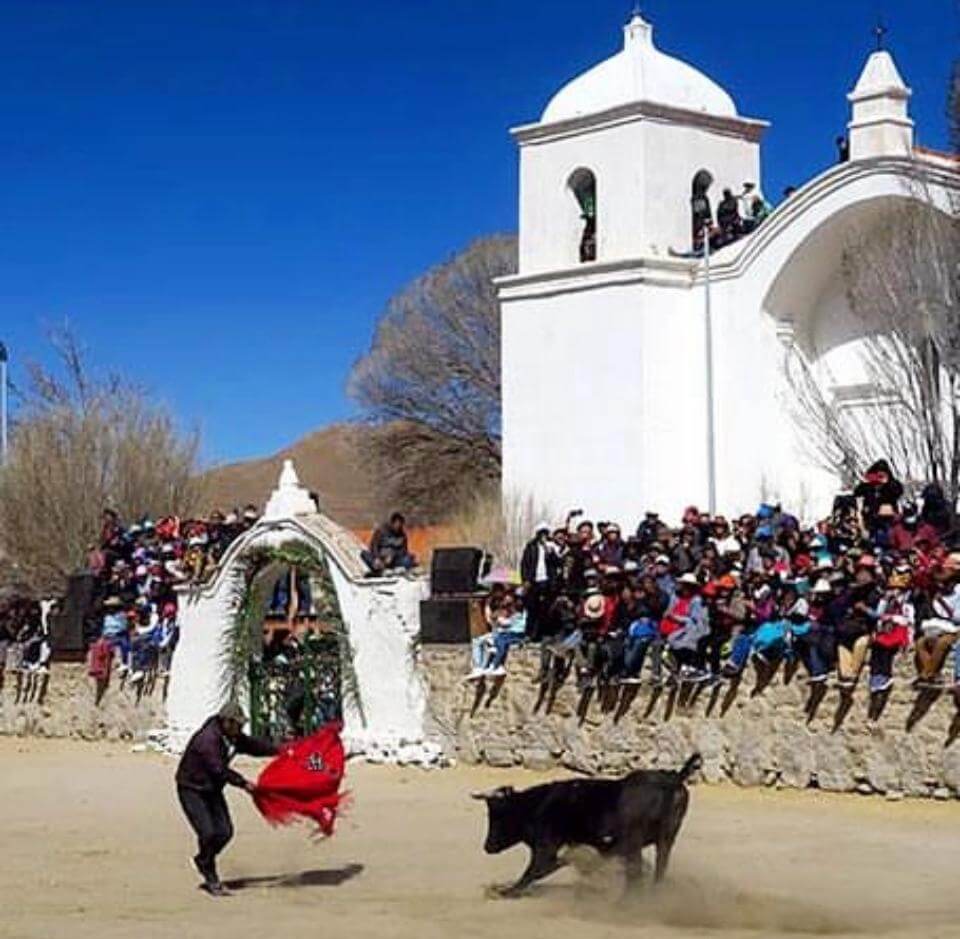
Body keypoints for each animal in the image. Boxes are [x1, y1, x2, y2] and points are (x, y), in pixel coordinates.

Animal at [470, 756, 700, 896]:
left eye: (498, 816)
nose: (487, 847)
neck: (537, 805)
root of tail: (673, 779)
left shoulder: (545, 847)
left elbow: (533, 871)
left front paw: (505, 892)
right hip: (666, 840)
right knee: (657, 870)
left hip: (635, 841)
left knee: (636, 874)